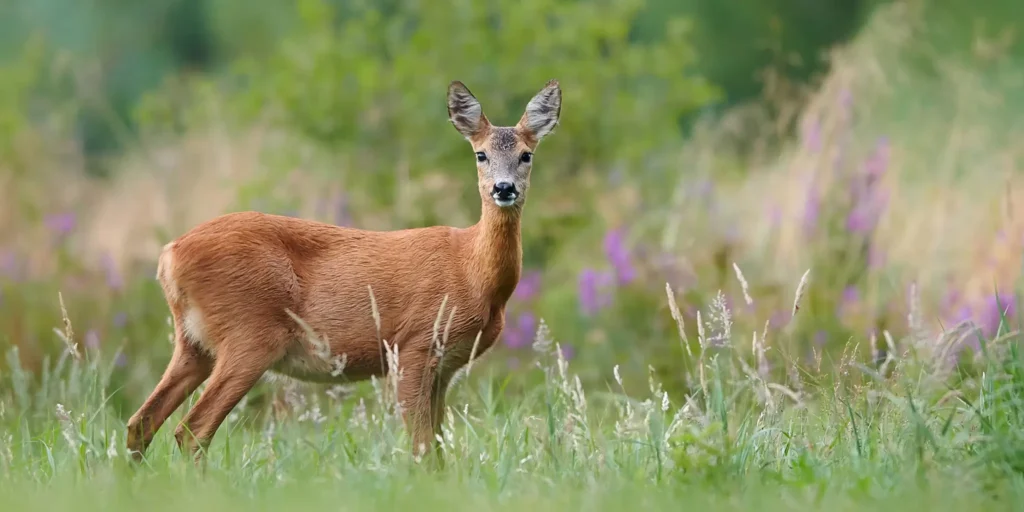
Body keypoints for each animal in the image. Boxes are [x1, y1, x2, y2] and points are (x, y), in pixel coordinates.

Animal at [125, 79, 562, 463]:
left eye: (527, 154)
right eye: (480, 154)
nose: (503, 189)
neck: (473, 273)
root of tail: (169, 255)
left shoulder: (445, 366)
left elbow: (437, 448)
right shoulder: (415, 344)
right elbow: (421, 449)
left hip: (194, 343)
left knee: (141, 422)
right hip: (249, 334)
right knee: (192, 429)